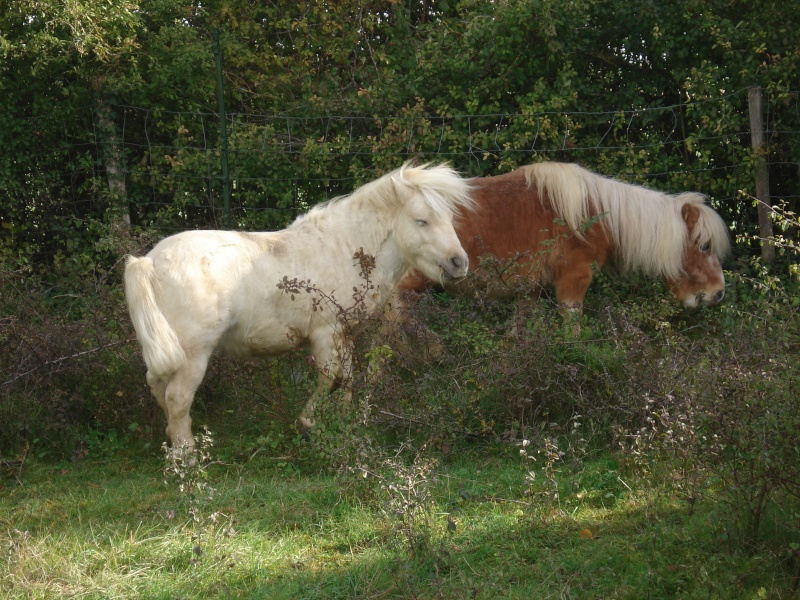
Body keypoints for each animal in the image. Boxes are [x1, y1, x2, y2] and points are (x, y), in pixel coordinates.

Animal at [126, 161, 476, 450]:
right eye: (422, 220)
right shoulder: (326, 333)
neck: (346, 248)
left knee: (158, 386)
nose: (459, 263)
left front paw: (342, 420)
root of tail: (149, 261)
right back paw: (186, 455)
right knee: (177, 396)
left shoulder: (343, 334)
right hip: (193, 355)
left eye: (447, 218)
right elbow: (329, 377)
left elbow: (347, 378)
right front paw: (308, 422)